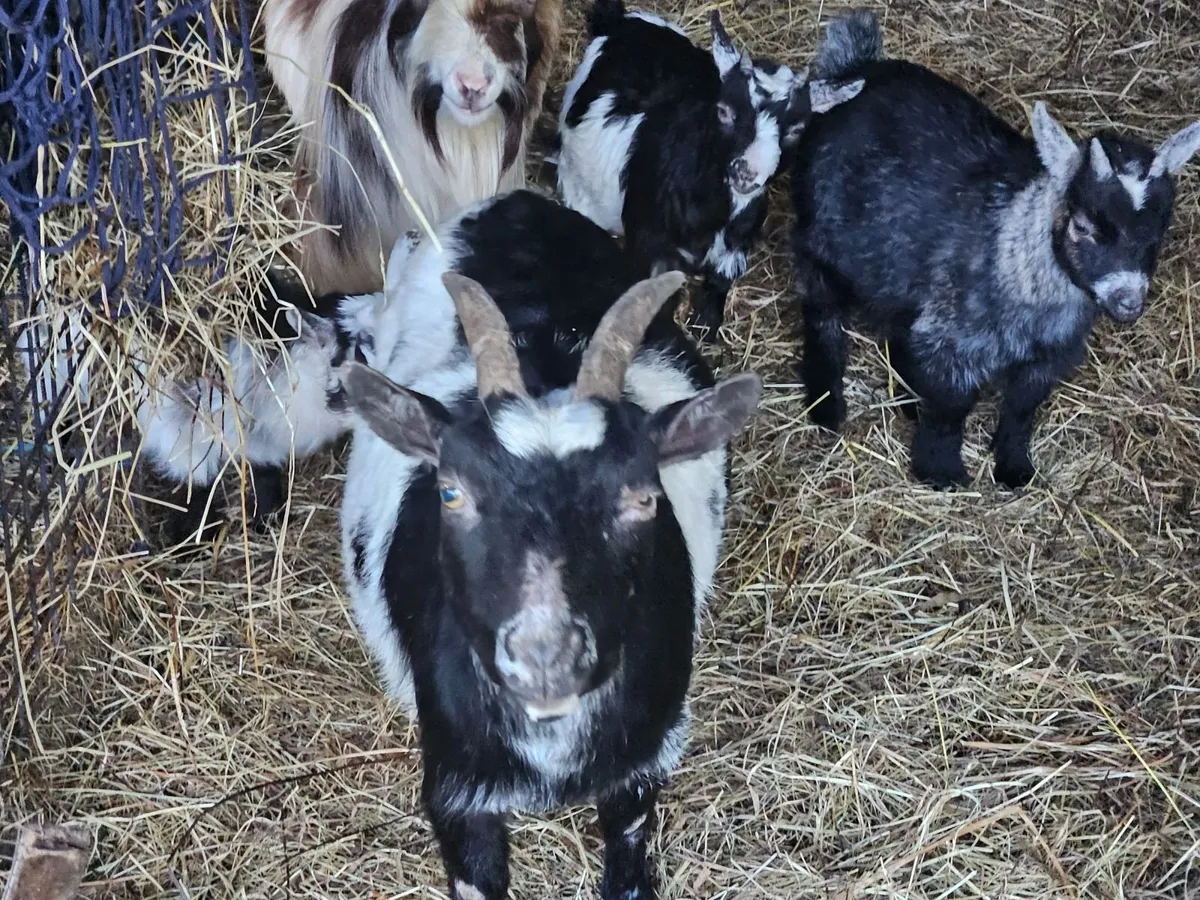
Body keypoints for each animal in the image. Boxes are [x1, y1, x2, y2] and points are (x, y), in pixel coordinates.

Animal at [334, 188, 761, 899]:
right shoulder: (457, 792)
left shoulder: (640, 770)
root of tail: (517, 201)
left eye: (643, 496)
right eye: (451, 492)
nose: (545, 657)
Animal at [557, 0, 862, 337]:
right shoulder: (650, 243)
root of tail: (622, 22)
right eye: (724, 111)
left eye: (797, 129)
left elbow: (718, 287)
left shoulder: (737, 244)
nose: (747, 172)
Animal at [791, 9, 1200, 489]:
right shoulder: (955, 342)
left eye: (1160, 230)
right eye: (1082, 226)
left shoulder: (1047, 357)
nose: (1129, 302)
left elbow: (1022, 410)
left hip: (895, 266)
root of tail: (854, 67)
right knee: (822, 311)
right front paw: (941, 471)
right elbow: (951, 408)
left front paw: (1013, 467)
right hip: (822, 240)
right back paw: (826, 404)